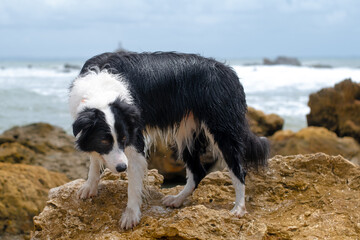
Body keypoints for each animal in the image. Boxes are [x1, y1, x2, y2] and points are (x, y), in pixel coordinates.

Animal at [69, 52, 268, 229]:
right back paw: (177, 199)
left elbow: (133, 184)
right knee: (198, 171)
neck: (100, 90)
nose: (121, 168)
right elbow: (95, 160)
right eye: (104, 141)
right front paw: (90, 186)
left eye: (124, 139)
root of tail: (229, 72)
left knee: (238, 169)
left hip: (222, 128)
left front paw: (131, 215)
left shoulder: (135, 138)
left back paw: (239, 208)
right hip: (186, 131)